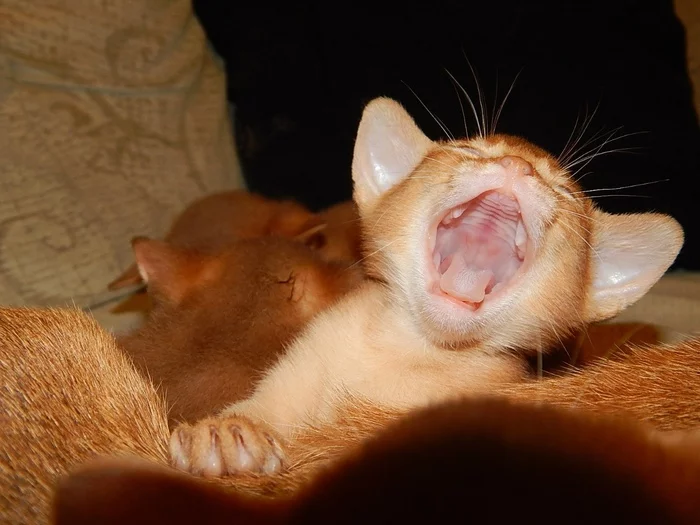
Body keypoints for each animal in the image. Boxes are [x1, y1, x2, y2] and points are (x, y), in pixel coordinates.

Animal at [170, 96, 684, 476]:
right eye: (471, 152)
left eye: (562, 190)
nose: (518, 167)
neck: (410, 350)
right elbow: (265, 408)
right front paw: (229, 431)